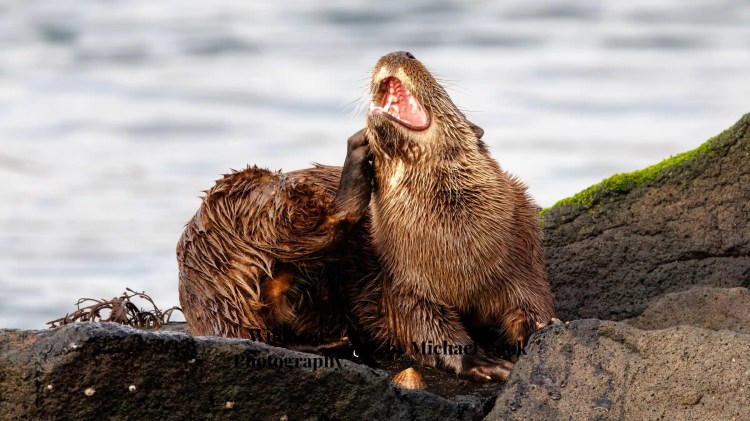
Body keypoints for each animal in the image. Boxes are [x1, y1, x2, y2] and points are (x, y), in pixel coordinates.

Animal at [177, 51, 555, 381]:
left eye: (443, 93)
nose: (400, 52)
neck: (457, 249)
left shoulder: (524, 256)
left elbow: (535, 307)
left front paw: (541, 330)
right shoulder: (404, 282)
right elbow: (426, 330)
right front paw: (482, 362)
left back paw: (333, 343)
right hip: (250, 199)